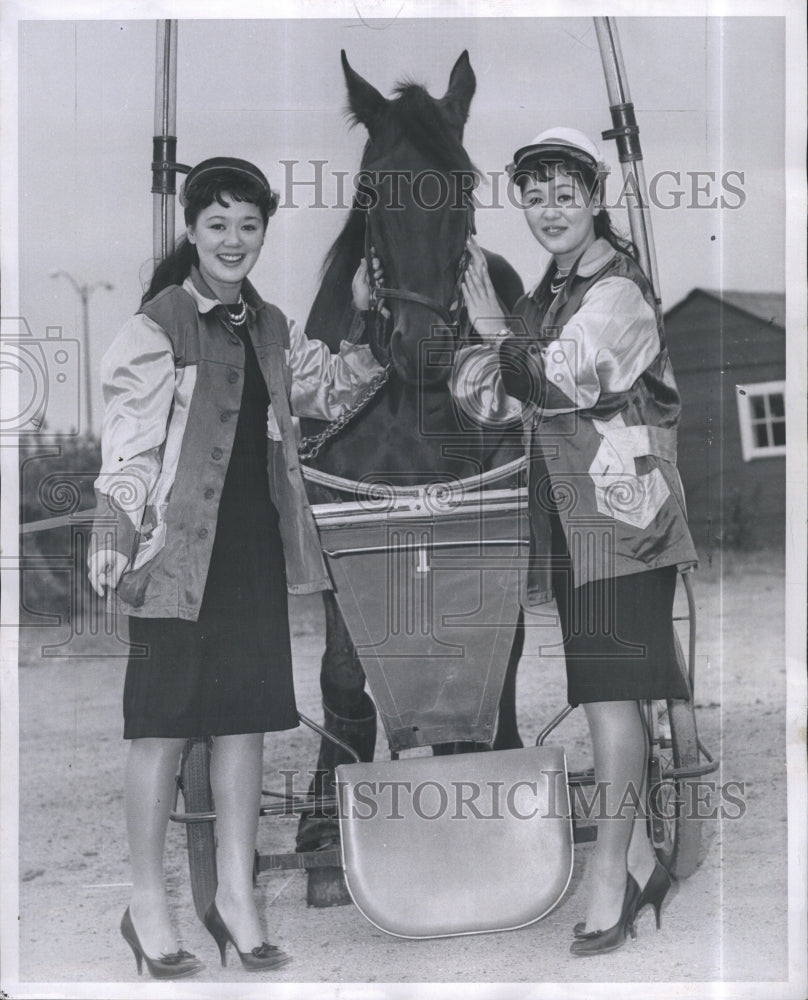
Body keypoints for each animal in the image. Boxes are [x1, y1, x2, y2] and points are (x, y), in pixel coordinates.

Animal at [296, 52, 524, 884]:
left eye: (464, 184)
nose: (422, 348)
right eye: (372, 189)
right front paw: (323, 816)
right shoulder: (336, 526)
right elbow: (341, 674)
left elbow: (490, 653)